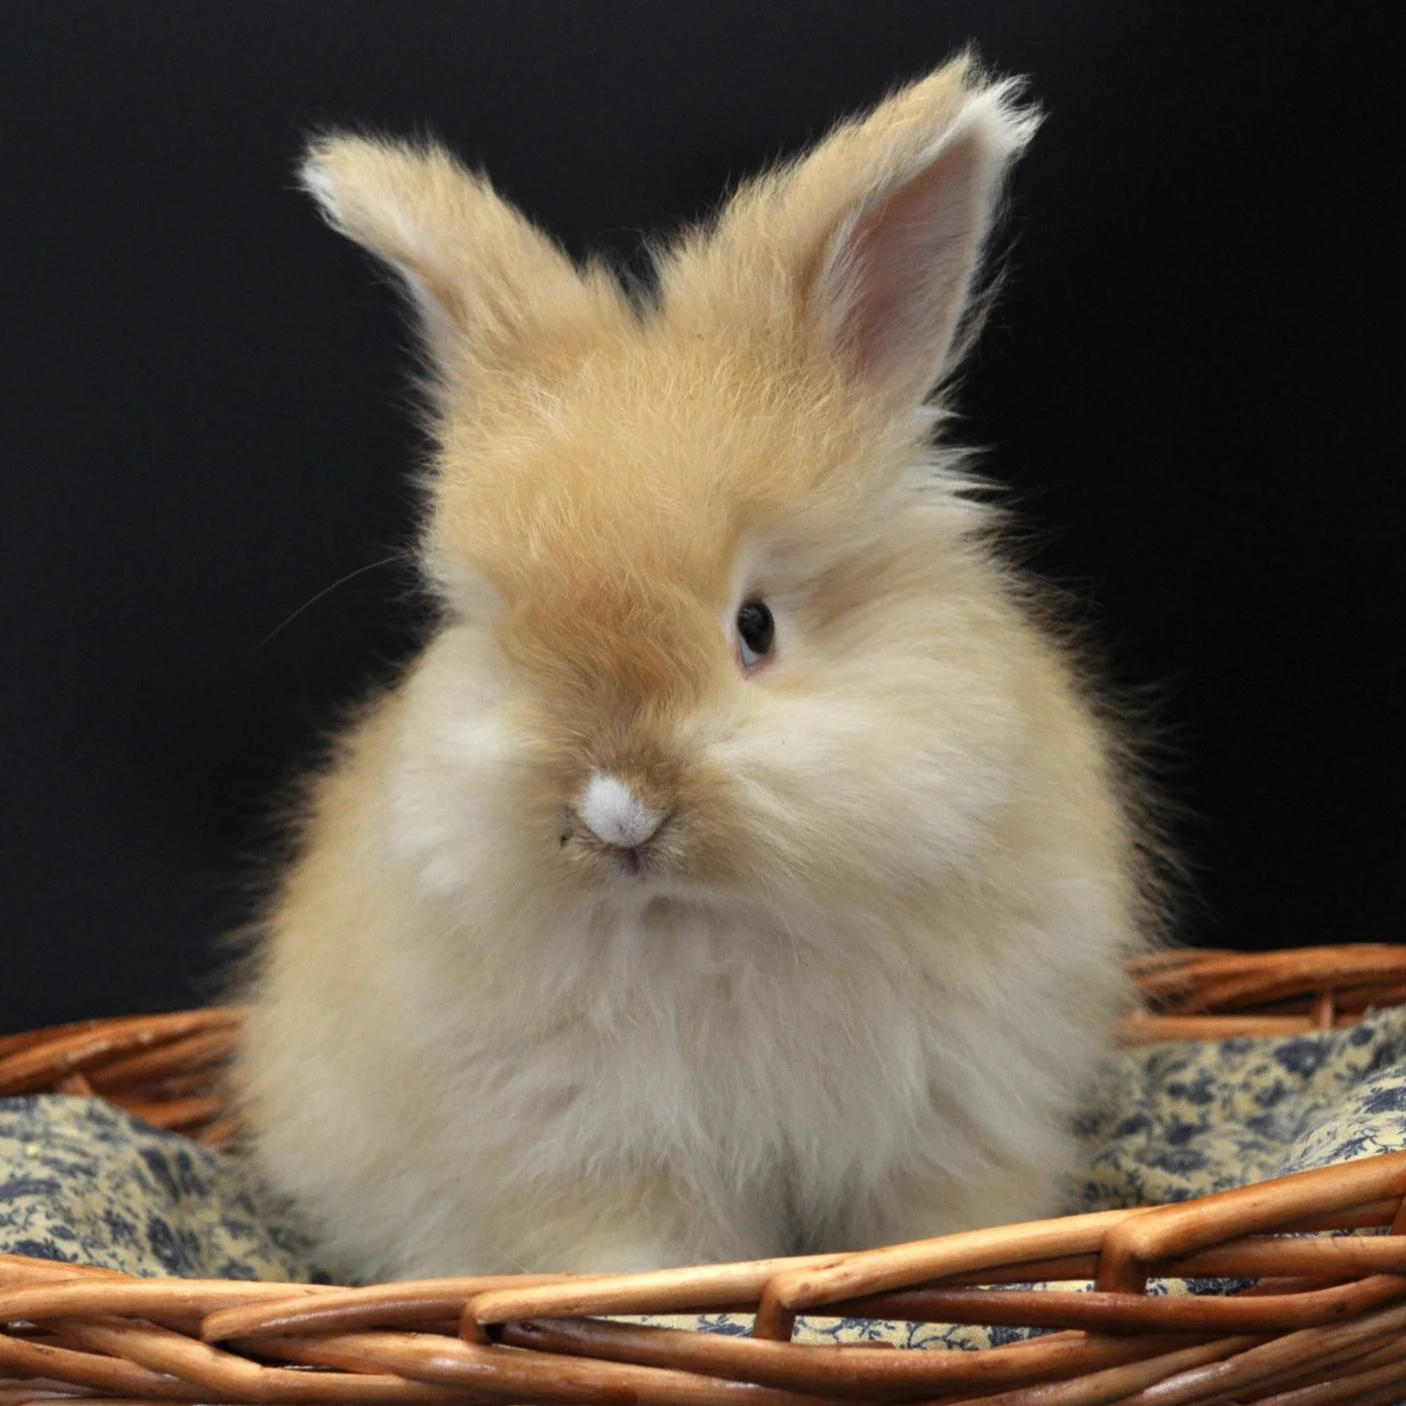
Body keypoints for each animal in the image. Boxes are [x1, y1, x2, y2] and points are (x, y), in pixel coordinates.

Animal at [237, 52, 1162, 1282]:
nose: (617, 812)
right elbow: (649, 1263)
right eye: (508, 643)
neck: (709, 918)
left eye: (755, 626)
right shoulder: (602, 1155)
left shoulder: (949, 1121)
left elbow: (935, 1228)